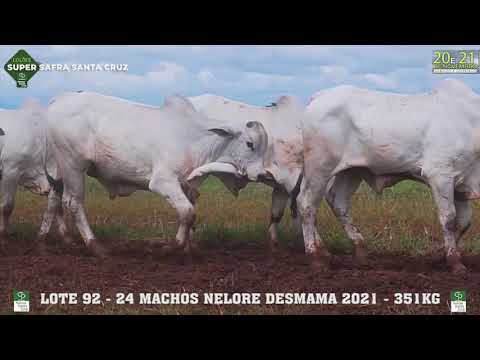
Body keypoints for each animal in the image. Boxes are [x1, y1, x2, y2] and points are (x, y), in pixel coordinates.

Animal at [0, 98, 71, 250]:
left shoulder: (54, 182)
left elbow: (56, 207)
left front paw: (65, 236)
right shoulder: (10, 171)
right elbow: (7, 206)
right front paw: (3, 236)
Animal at [47, 91, 270, 258]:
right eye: (250, 144)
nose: (261, 175)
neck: (196, 140)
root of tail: (59, 100)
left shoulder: (187, 186)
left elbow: (188, 216)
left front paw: (188, 249)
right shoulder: (162, 182)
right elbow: (188, 212)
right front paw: (170, 247)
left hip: (62, 170)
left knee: (56, 197)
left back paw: (63, 239)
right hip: (74, 166)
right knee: (73, 202)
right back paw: (95, 246)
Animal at [298, 79, 480, 272]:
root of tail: (319, 96)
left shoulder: (461, 185)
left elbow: (464, 222)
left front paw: (440, 257)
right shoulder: (440, 175)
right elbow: (449, 219)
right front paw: (454, 262)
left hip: (351, 171)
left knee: (338, 202)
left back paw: (357, 250)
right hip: (319, 168)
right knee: (307, 205)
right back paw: (315, 257)